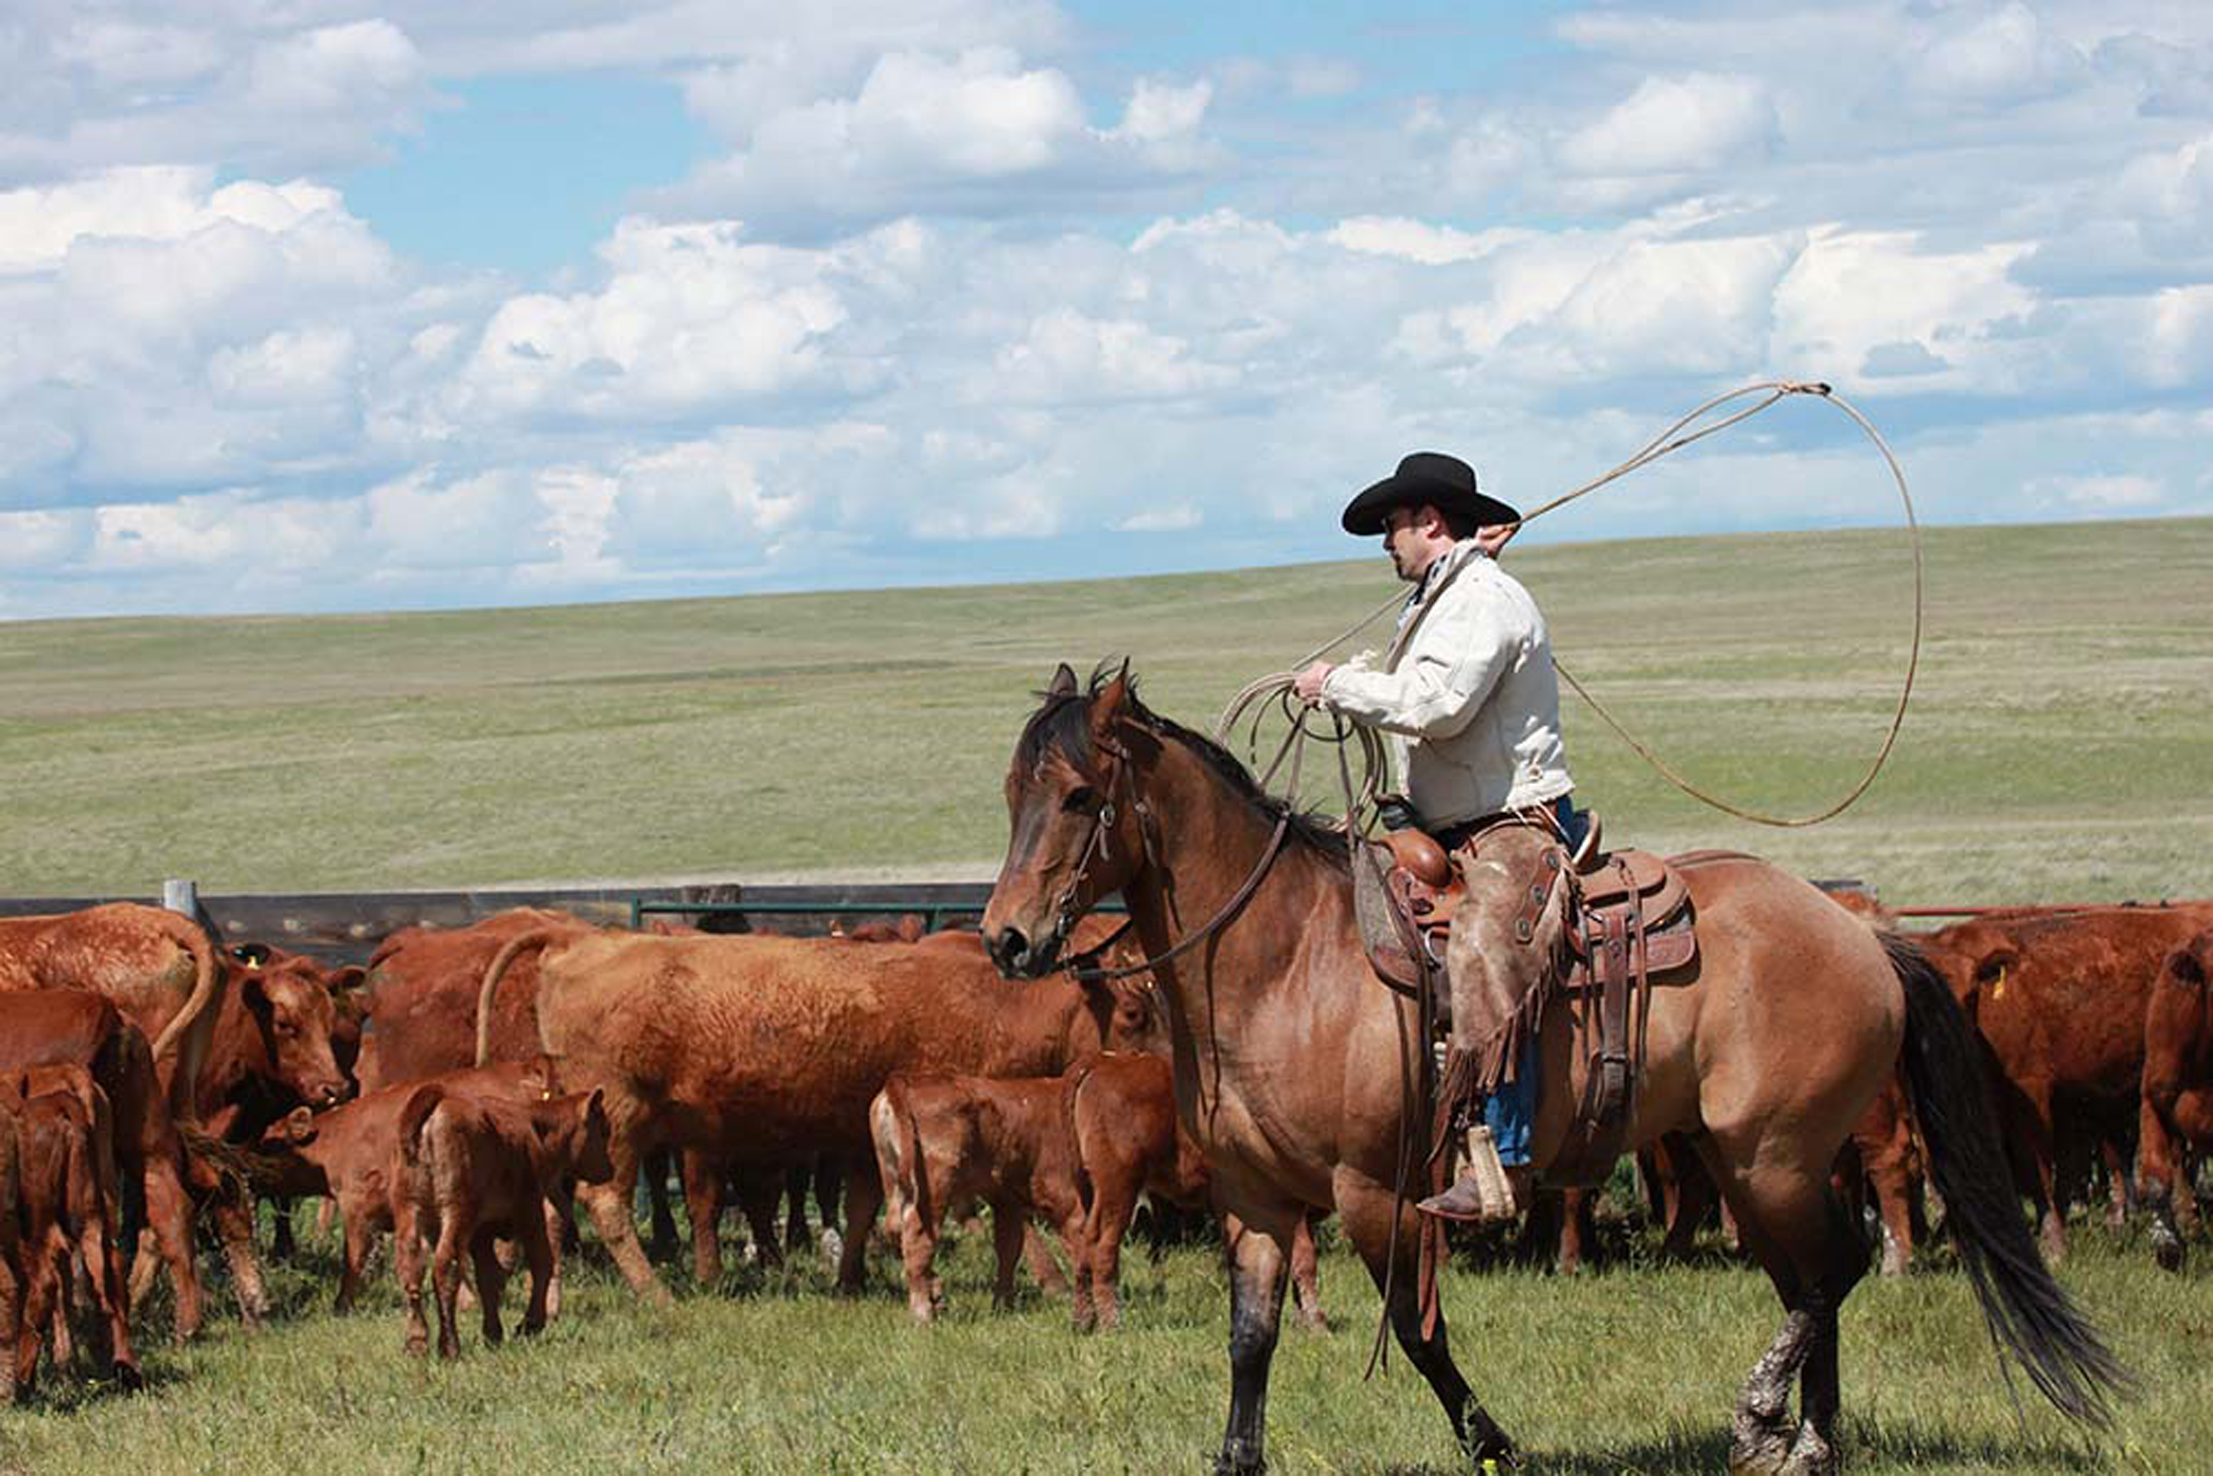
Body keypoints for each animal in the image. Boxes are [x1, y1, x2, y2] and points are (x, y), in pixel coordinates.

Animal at [391, 1079, 615, 1354]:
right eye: (604, 1131)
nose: (610, 1169)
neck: (536, 1130)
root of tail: (436, 1099)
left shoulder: (482, 1231)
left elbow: (488, 1277)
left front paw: (493, 1334)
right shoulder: (529, 1208)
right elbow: (542, 1261)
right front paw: (530, 1325)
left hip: (409, 1208)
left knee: (410, 1267)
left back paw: (416, 1342)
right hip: (457, 1209)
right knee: (446, 1265)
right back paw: (450, 1346)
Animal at [978, 668, 2115, 1476]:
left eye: (1077, 796)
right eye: (1010, 793)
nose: (1005, 941)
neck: (1284, 960)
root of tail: (1862, 934)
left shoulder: (1371, 1191)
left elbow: (1416, 1332)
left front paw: (1493, 1443)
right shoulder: (1252, 1198)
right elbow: (1249, 1341)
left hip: (1775, 1152)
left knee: (1830, 1269)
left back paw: (1763, 1423)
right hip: (1746, 1162)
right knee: (1808, 1281)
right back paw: (1803, 1445)